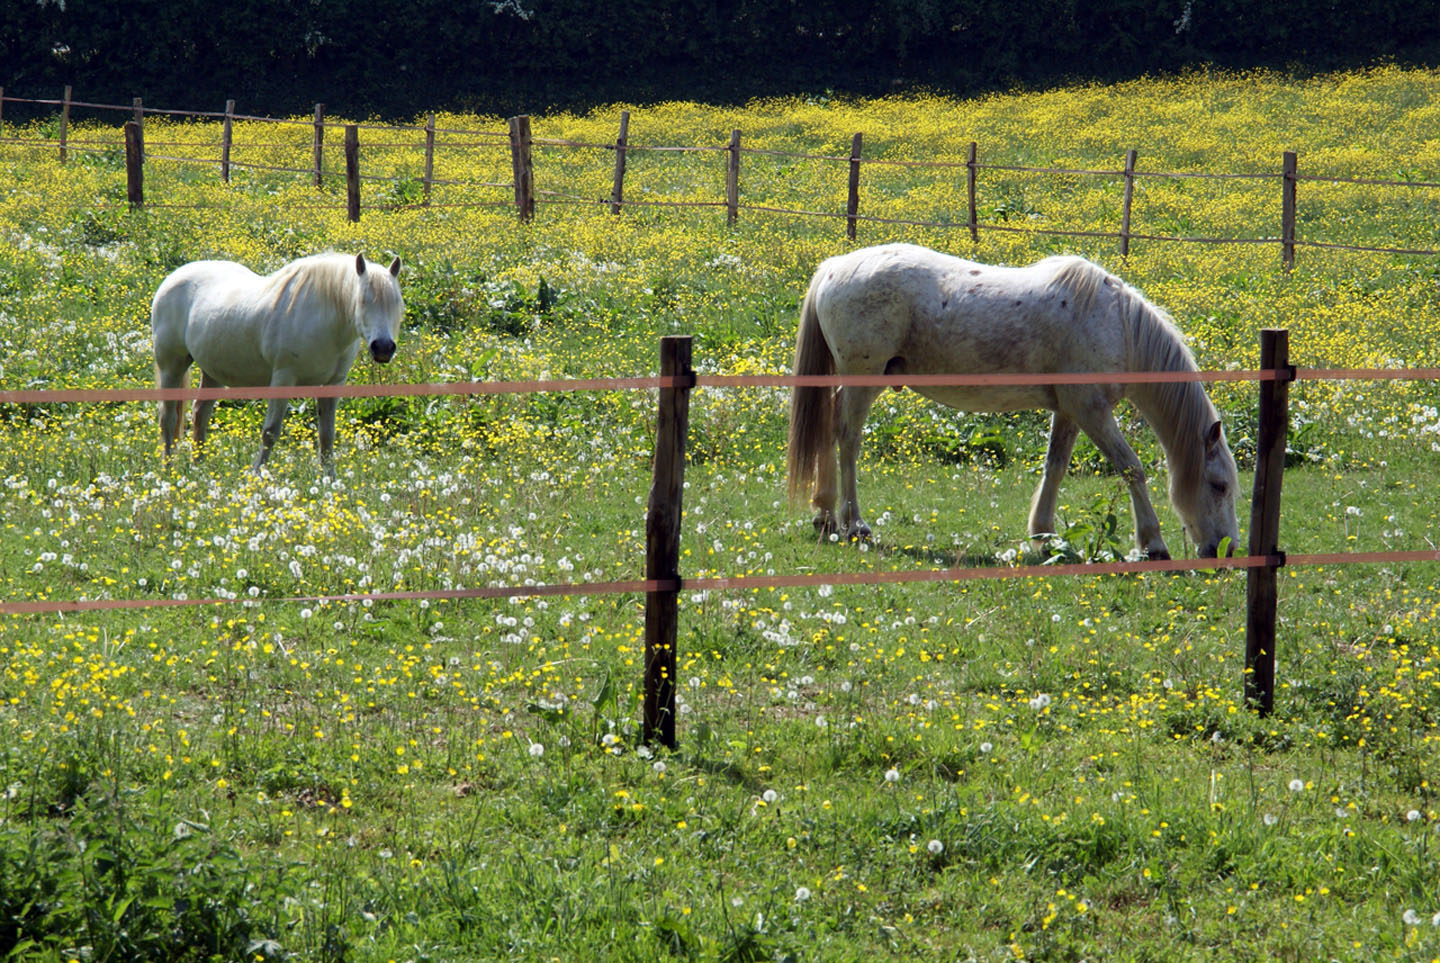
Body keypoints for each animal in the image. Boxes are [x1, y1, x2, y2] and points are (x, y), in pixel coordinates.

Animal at [151, 253, 403, 477]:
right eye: (362, 301)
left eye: (397, 303)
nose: (383, 347)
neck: (323, 320)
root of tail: (173, 277)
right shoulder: (284, 378)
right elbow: (270, 432)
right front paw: (256, 474)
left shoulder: (333, 384)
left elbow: (327, 435)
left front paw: (330, 479)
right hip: (172, 365)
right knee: (168, 418)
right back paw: (168, 470)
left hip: (212, 371)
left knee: (200, 414)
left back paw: (198, 467)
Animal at [789, 241, 1238, 555]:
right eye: (1218, 486)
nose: (1227, 551)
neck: (1115, 324)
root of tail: (833, 267)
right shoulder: (1092, 410)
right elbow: (1131, 468)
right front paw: (1152, 543)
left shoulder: (1070, 411)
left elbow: (1055, 467)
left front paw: (1044, 533)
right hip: (863, 381)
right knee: (848, 439)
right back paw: (854, 524)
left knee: (829, 429)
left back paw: (824, 516)